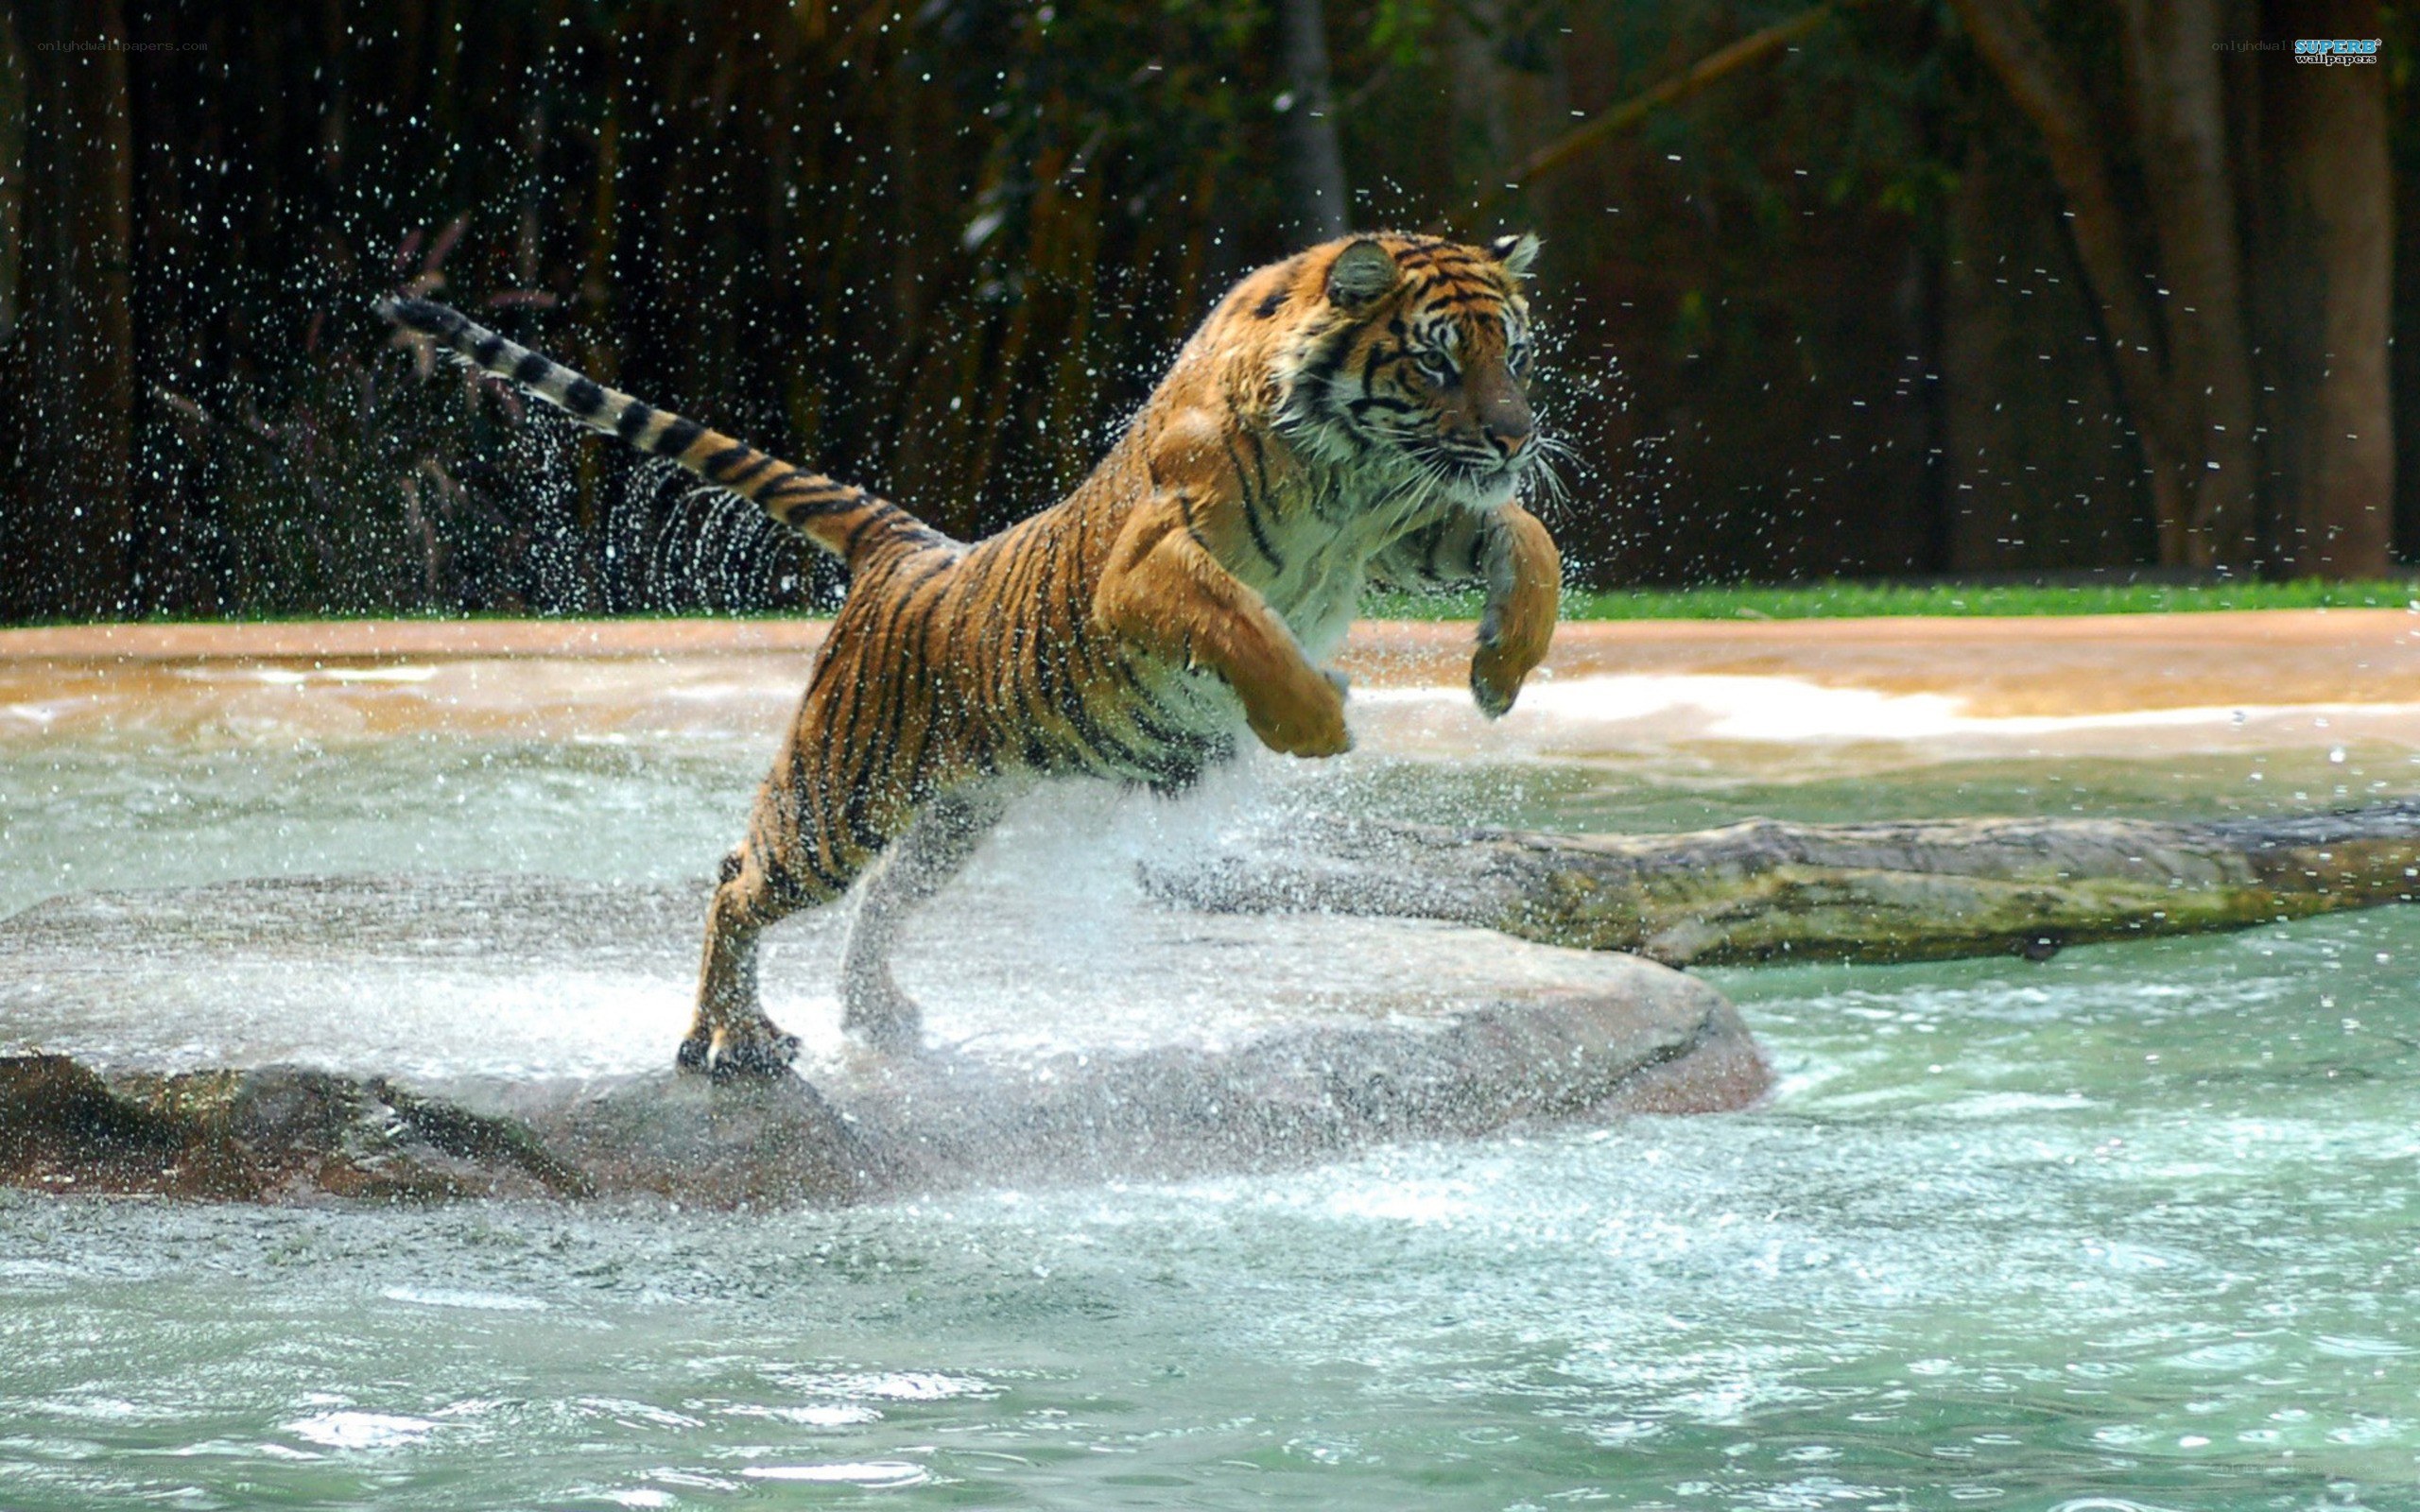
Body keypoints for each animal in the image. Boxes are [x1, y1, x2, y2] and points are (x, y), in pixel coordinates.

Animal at [382, 231, 1561, 1081]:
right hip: (840, 796)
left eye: (1511, 352)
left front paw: (1500, 670)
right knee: (738, 879)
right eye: (1436, 358)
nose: (1517, 436)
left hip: (955, 811)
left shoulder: (1411, 526)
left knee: (880, 903)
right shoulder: (1148, 566)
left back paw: (876, 1018)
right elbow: (1243, 624)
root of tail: (907, 548)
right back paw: (731, 1042)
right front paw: (1316, 718)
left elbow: (1527, 538)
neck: (1350, 473)